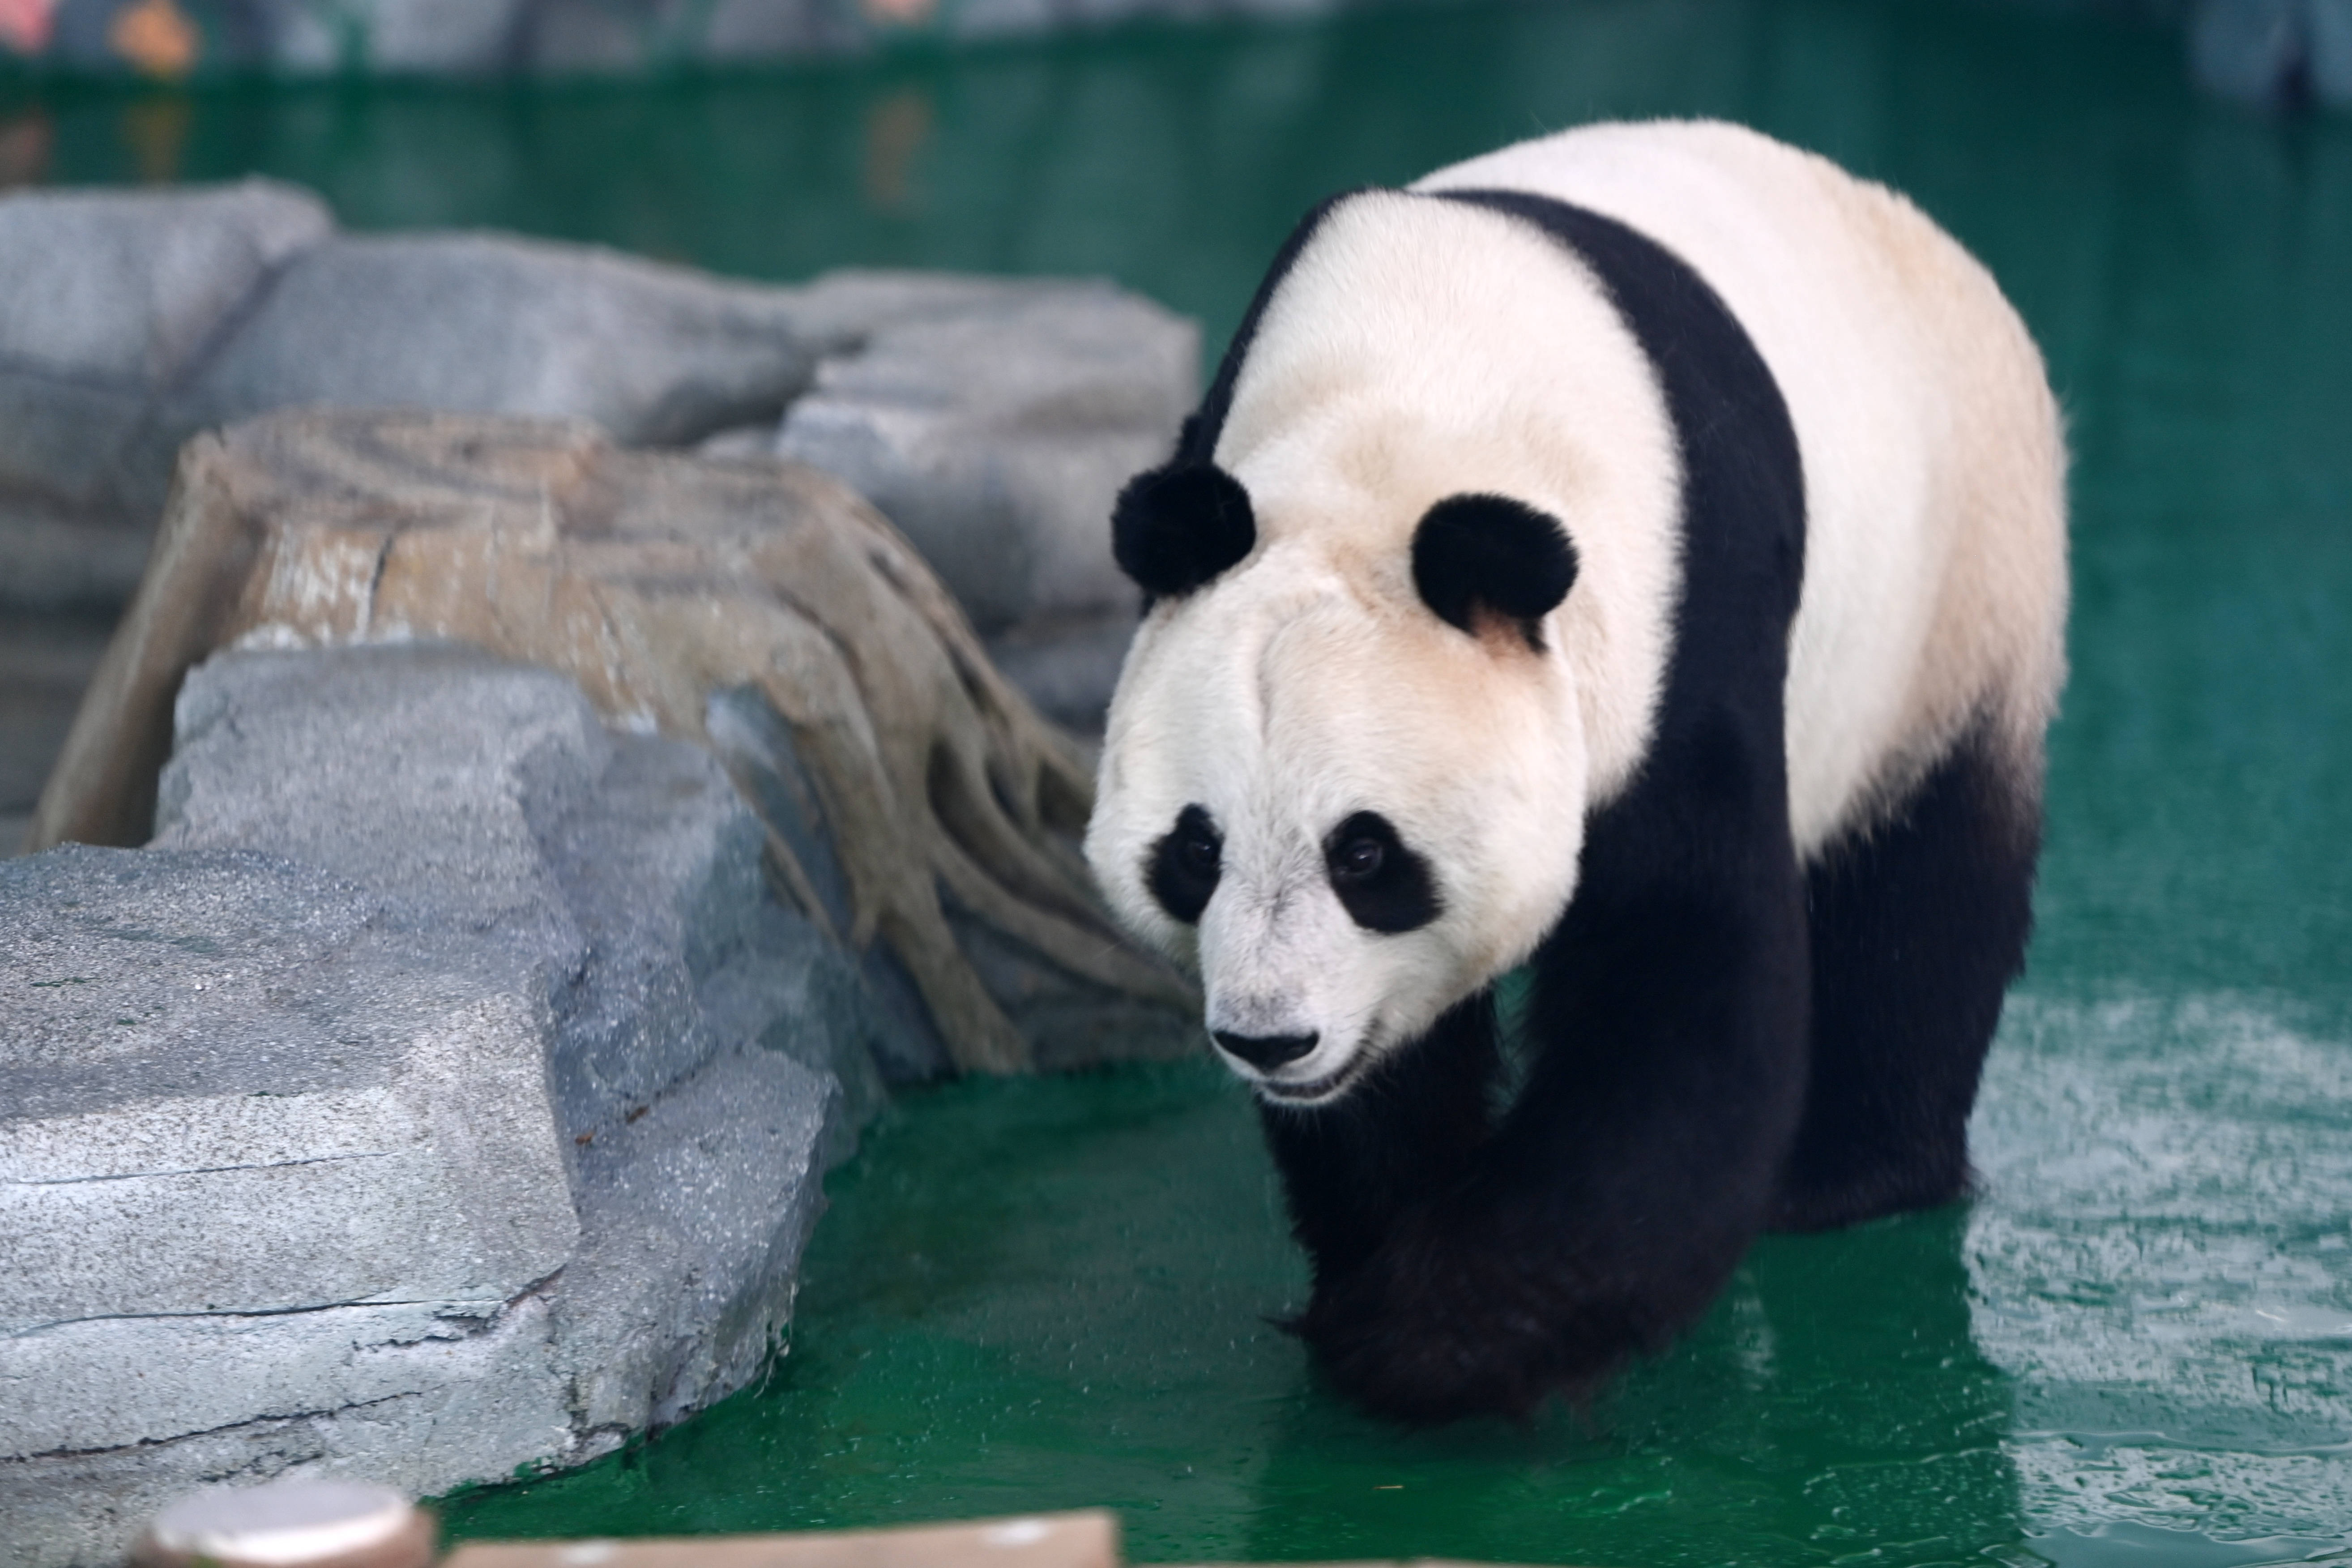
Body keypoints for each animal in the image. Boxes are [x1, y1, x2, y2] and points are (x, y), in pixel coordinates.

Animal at [1077, 120, 2060, 1420]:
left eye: (1365, 852)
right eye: (1194, 848)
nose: (1266, 1041)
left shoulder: (1684, 635)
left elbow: (1684, 992)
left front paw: (1433, 1333)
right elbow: (1393, 1074)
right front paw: (1377, 1254)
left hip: (1957, 597)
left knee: (1921, 891)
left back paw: (1855, 1174)